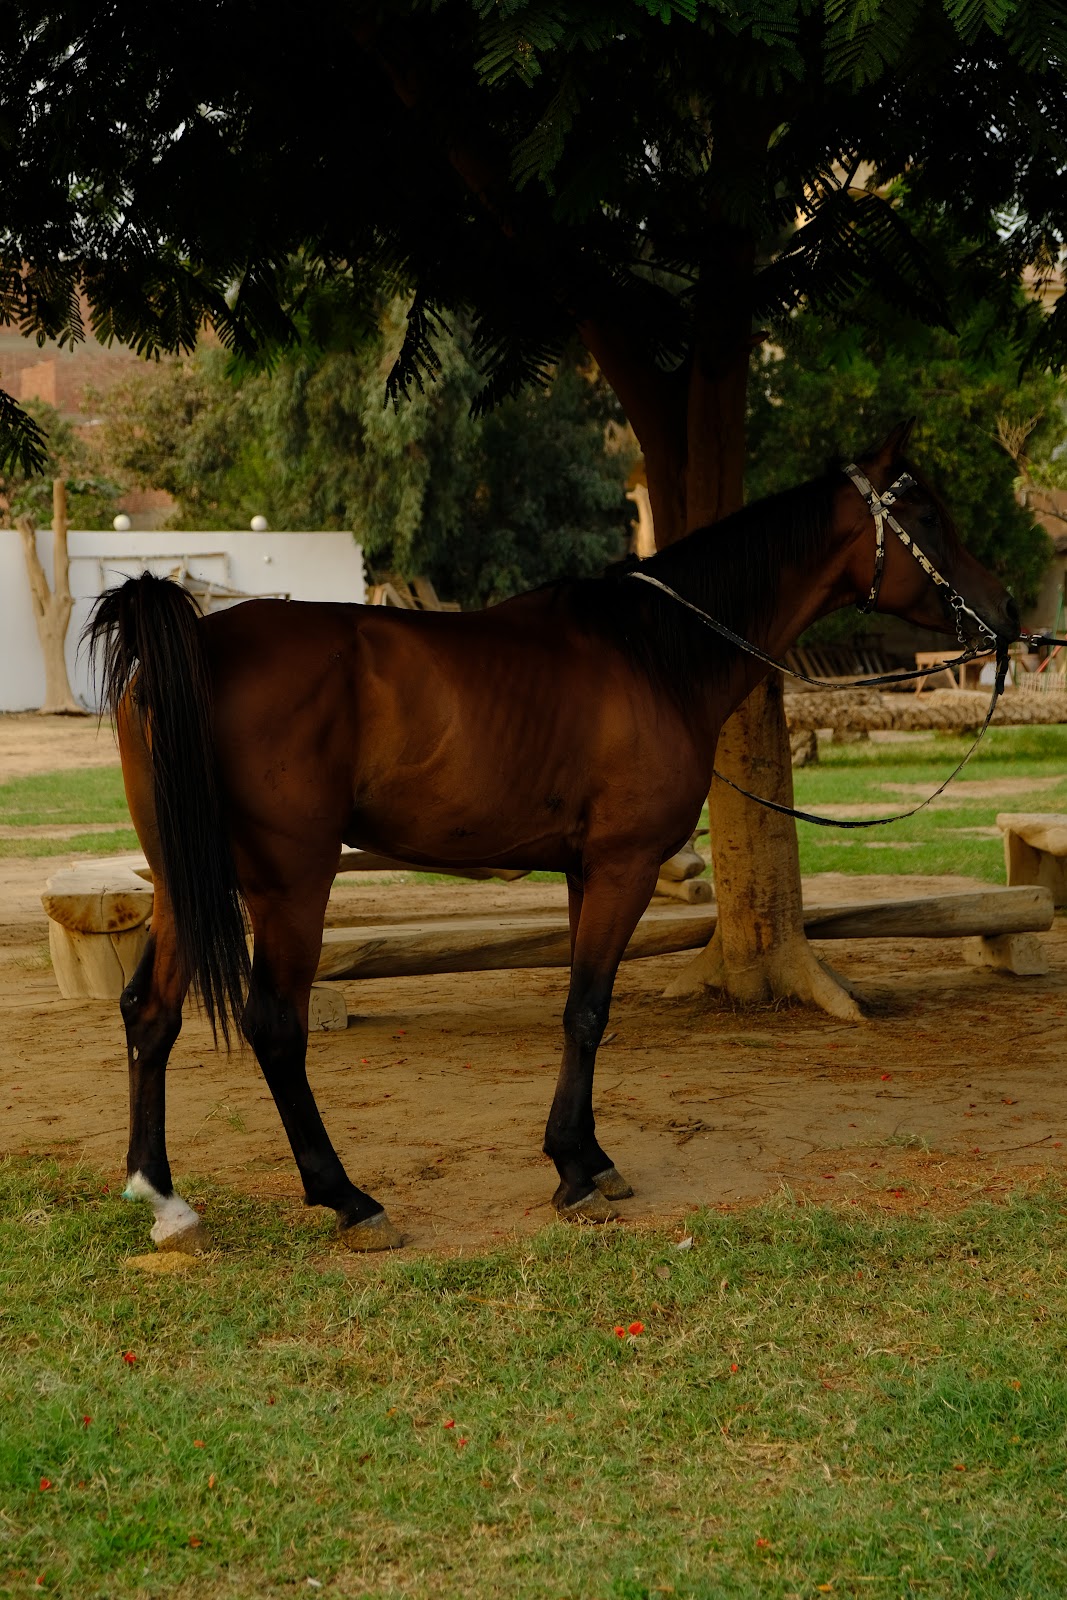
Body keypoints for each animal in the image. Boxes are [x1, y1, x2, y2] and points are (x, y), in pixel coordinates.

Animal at [86, 422, 1019, 1253]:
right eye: (925, 513)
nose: (1005, 611)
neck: (653, 653)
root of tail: (195, 641)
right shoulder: (621, 866)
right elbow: (587, 1010)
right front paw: (574, 1171)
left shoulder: (581, 872)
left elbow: (581, 1006)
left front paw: (589, 1156)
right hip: (289, 883)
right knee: (275, 1025)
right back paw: (347, 1198)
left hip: (182, 877)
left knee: (149, 1012)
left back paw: (164, 1199)